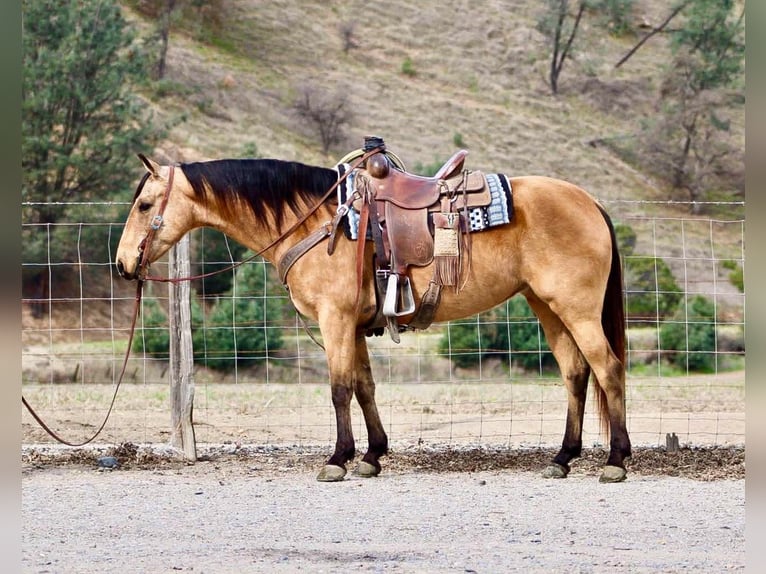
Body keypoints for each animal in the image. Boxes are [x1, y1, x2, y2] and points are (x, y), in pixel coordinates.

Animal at [115, 150, 632, 483]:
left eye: (144, 204)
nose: (121, 265)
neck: (317, 221)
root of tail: (590, 202)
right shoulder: (356, 326)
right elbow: (364, 387)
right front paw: (372, 455)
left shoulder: (336, 319)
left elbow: (340, 389)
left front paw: (338, 459)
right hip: (547, 307)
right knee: (576, 373)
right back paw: (562, 458)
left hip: (576, 309)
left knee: (607, 369)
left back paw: (616, 461)